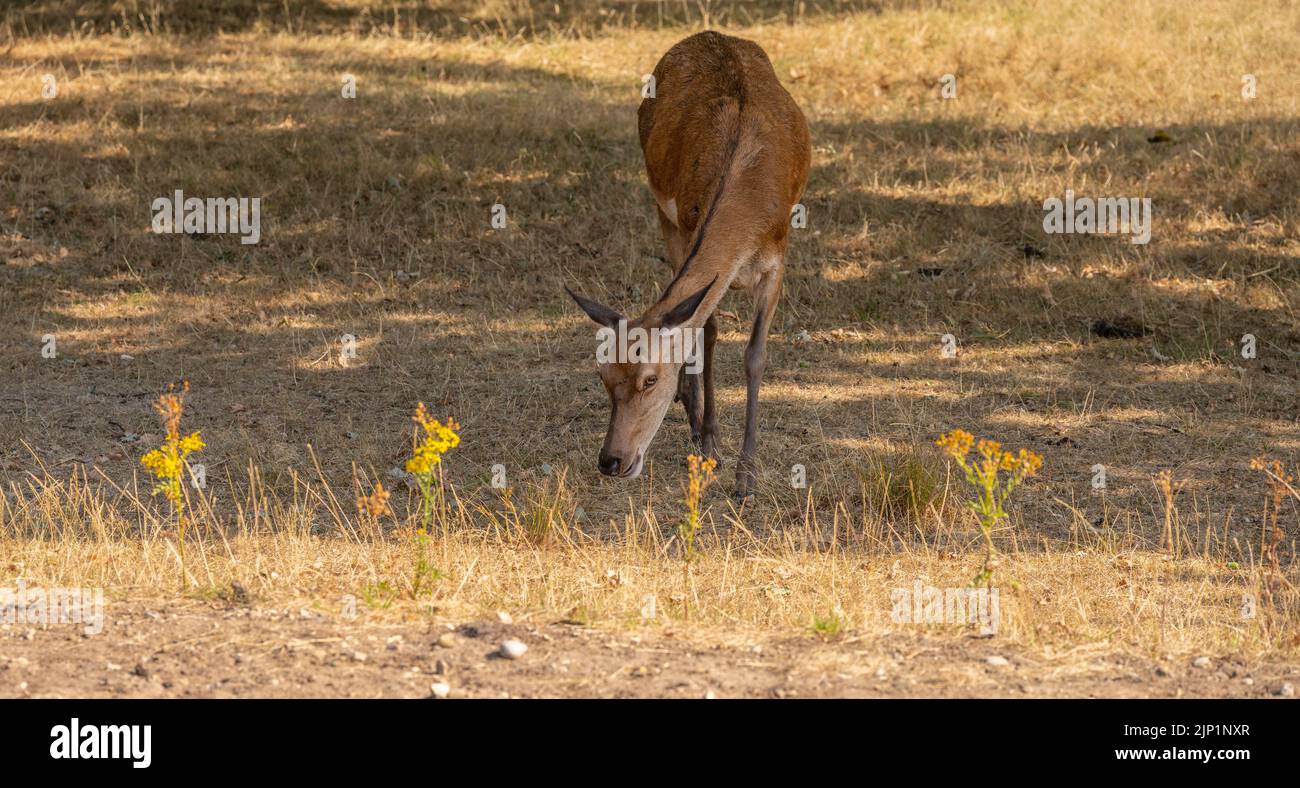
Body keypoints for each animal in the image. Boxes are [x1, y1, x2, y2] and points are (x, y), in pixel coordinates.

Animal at [566, 31, 811, 498]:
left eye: (649, 379)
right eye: (602, 374)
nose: (611, 461)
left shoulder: (778, 258)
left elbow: (755, 355)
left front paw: (746, 475)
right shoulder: (685, 223)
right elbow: (706, 332)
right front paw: (709, 438)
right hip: (665, 214)